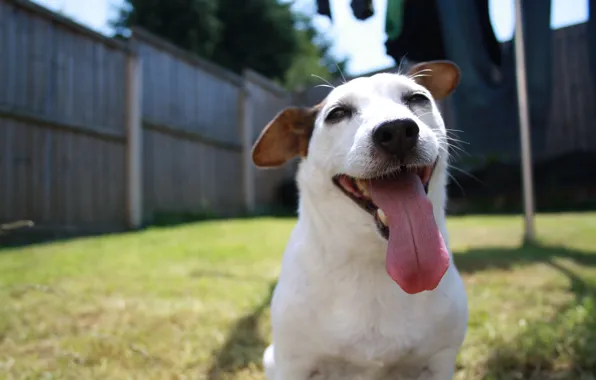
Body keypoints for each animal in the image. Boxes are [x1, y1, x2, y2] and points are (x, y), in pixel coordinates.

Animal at [249, 60, 468, 378]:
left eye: (417, 98)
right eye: (337, 114)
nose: (397, 130)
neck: (373, 261)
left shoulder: (440, 361)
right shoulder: (294, 363)